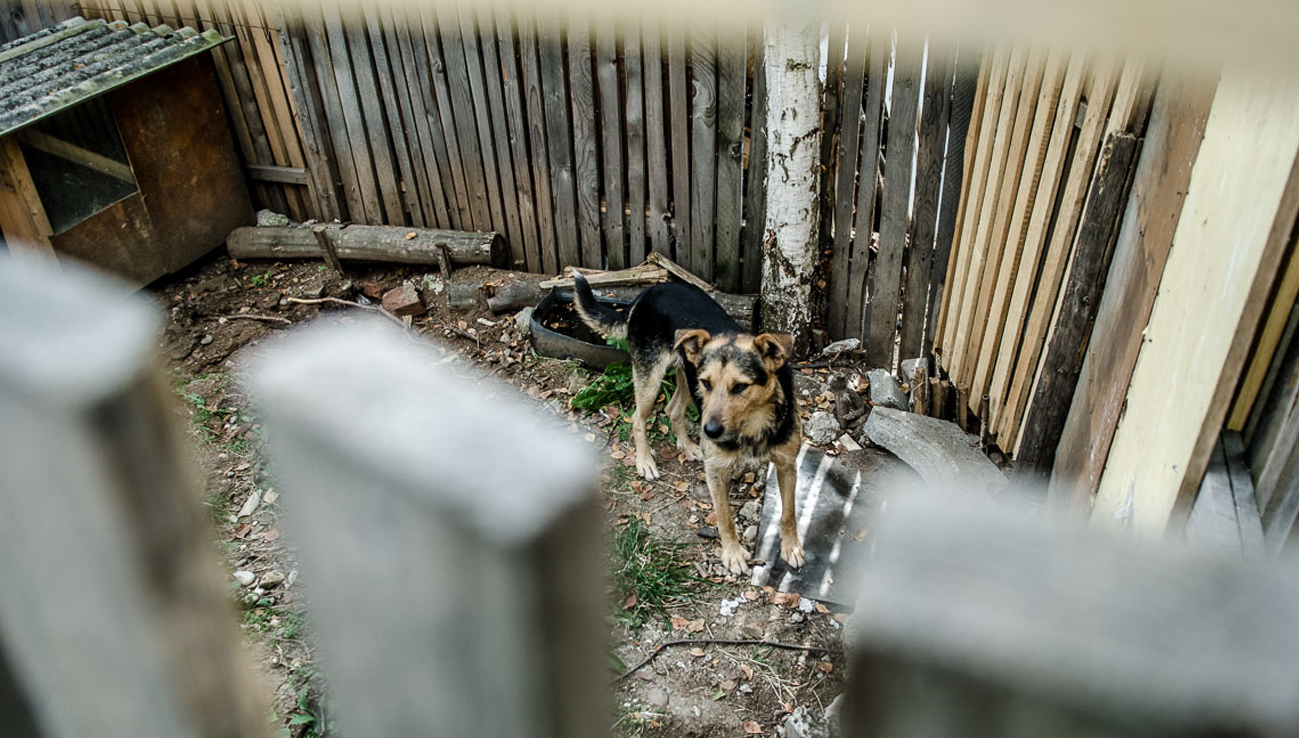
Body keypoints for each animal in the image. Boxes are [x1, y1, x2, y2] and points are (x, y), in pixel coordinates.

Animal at [568, 271, 800, 576]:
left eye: (740, 387)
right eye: (709, 383)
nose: (709, 433)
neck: (754, 425)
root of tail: (648, 292)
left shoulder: (787, 464)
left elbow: (789, 513)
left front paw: (791, 547)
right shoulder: (716, 471)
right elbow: (724, 518)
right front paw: (733, 554)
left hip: (686, 377)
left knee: (672, 409)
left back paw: (688, 446)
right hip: (654, 378)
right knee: (638, 418)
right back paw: (645, 461)